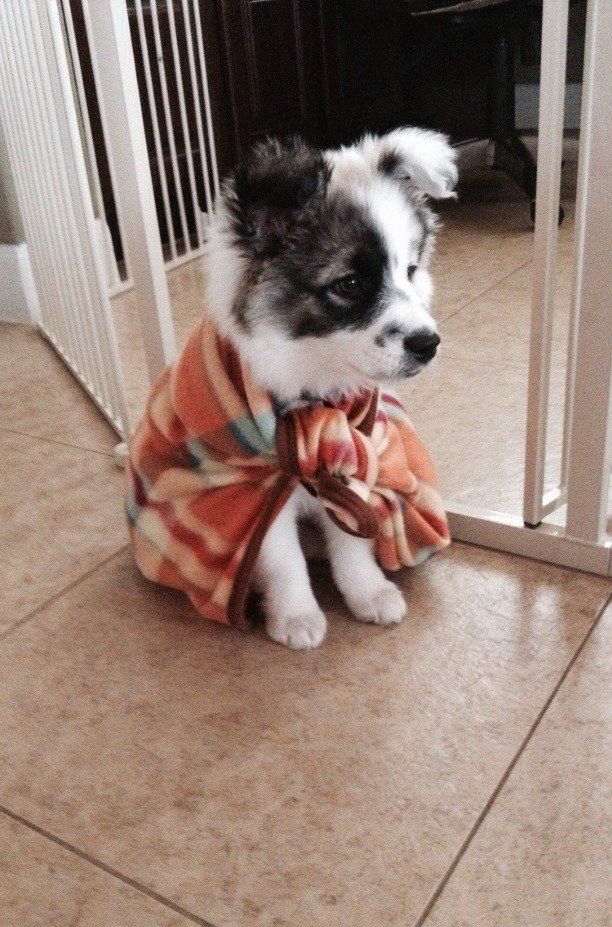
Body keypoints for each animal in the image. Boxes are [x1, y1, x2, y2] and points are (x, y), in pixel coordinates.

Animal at [206, 129, 460, 652]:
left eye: (410, 269)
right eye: (350, 283)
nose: (429, 343)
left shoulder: (353, 454)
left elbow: (351, 539)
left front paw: (368, 593)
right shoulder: (262, 487)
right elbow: (283, 559)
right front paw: (296, 616)